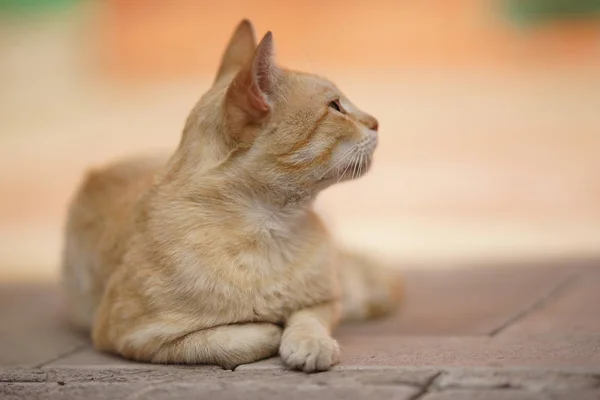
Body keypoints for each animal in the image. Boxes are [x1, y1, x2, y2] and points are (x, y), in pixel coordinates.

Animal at [62, 20, 404, 374]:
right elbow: (234, 340)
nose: (376, 122)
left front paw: (310, 343)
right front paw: (270, 325)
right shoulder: (132, 335)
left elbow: (309, 318)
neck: (270, 227)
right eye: (336, 107)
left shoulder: (323, 300)